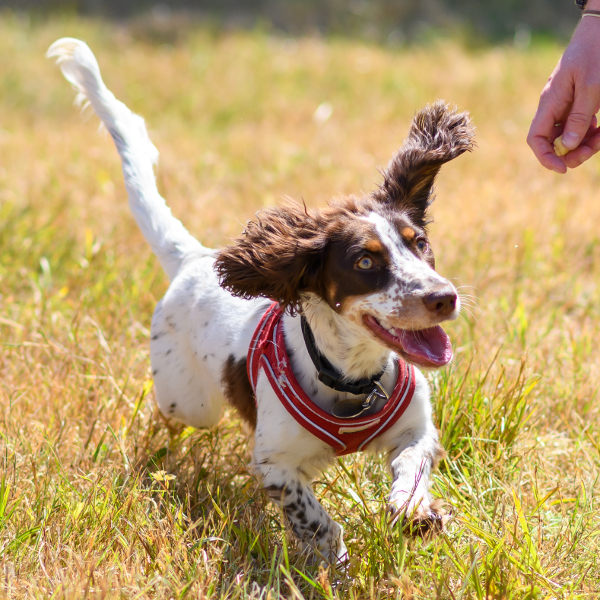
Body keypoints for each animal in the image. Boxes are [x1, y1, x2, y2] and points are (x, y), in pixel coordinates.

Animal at [49, 37, 474, 564]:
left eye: (420, 244)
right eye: (364, 262)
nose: (444, 297)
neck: (352, 379)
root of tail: (196, 258)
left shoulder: (416, 428)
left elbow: (412, 467)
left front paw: (416, 512)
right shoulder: (274, 464)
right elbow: (315, 518)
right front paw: (333, 559)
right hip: (188, 400)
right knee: (173, 415)